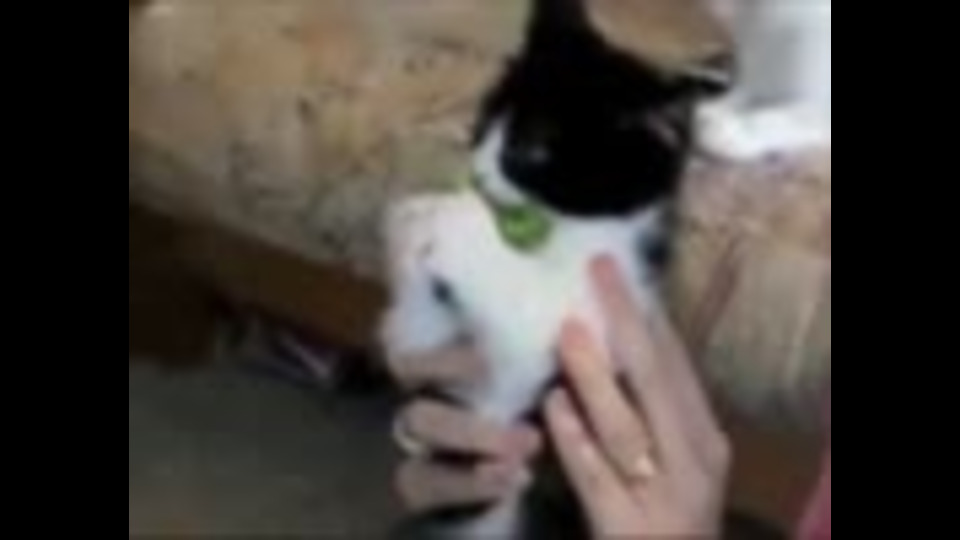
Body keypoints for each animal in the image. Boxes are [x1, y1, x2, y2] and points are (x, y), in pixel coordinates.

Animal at [380, 0, 727, 538]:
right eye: (485, 118)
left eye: (530, 148)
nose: (478, 173)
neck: (564, 230)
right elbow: (420, 336)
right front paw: (414, 230)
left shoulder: (597, 318)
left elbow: (532, 318)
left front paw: (451, 217)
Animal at [696, 0, 832, 161]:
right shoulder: (754, 79)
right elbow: (740, 94)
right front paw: (716, 108)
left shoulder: (816, 106)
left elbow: (775, 118)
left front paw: (729, 132)